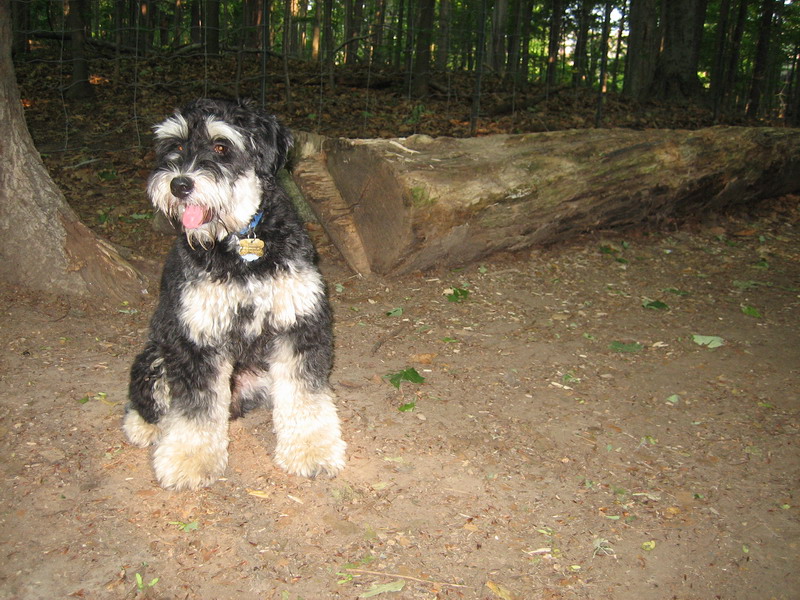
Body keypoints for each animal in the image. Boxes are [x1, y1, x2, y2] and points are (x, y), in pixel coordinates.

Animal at [123, 98, 346, 490]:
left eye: (221, 146)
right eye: (174, 145)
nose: (179, 184)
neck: (240, 242)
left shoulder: (298, 323)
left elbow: (304, 396)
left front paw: (312, 451)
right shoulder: (195, 337)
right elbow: (195, 409)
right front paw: (189, 460)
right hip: (156, 355)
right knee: (148, 400)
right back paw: (145, 427)